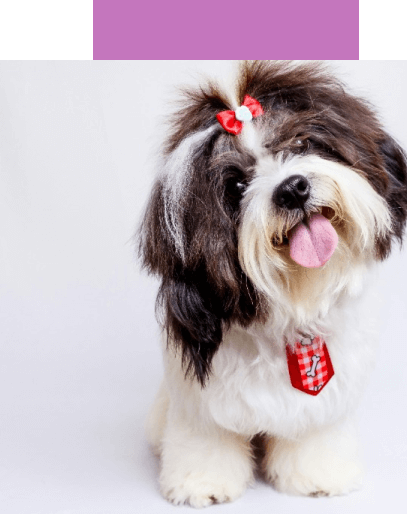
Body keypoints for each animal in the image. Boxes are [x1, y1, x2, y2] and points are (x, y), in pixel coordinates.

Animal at [138, 60, 407, 504]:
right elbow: (205, 439)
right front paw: (202, 483)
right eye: (236, 185)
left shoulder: (323, 403)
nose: (293, 189)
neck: (291, 310)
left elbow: (315, 436)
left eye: (300, 142)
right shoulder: (199, 402)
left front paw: (320, 475)